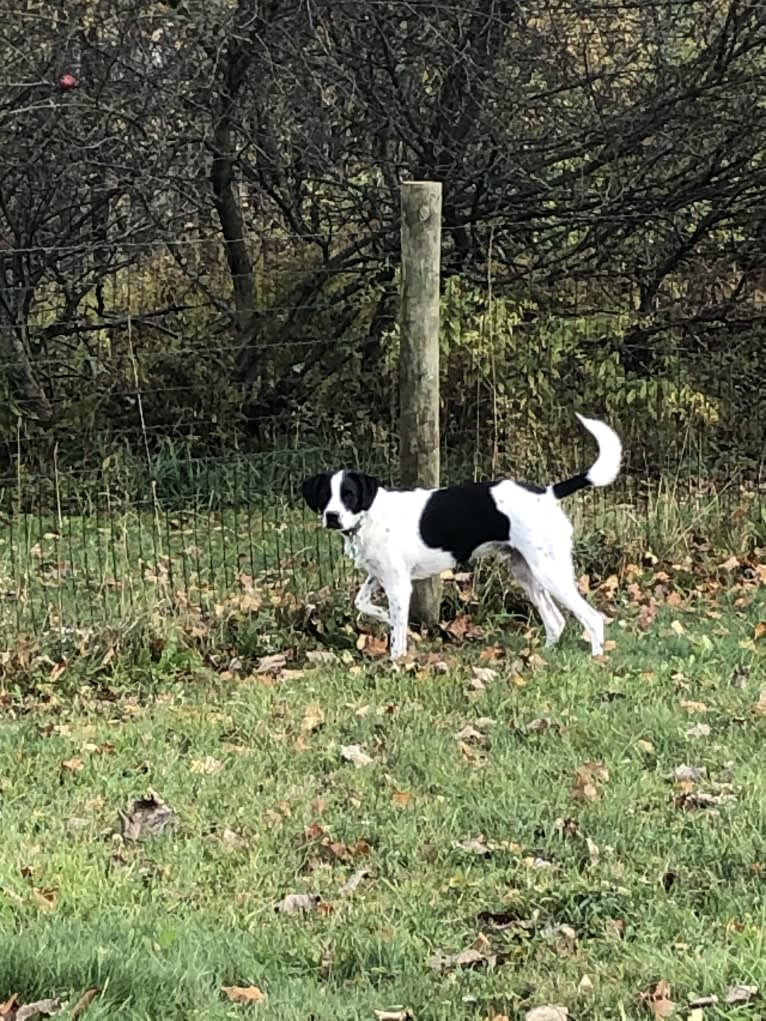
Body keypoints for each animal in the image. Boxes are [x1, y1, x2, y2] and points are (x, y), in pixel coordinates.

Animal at [302, 414, 625, 661]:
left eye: (349, 494)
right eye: (325, 495)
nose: (332, 516)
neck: (369, 516)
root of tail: (547, 493)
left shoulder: (399, 585)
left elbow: (398, 636)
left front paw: (396, 661)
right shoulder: (380, 577)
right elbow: (362, 603)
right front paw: (382, 615)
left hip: (550, 571)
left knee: (592, 618)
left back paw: (596, 658)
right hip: (526, 571)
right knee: (556, 621)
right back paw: (542, 656)